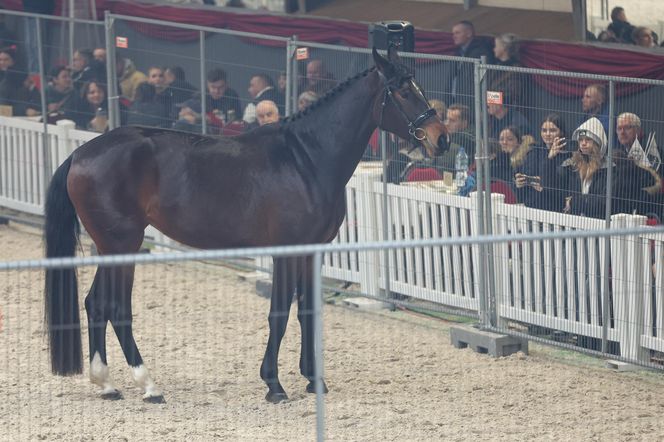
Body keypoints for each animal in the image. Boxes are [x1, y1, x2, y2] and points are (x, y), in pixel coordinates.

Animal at [44, 47, 448, 404]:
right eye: (403, 91)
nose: (440, 138)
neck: (306, 159)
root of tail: (80, 153)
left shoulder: (311, 252)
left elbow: (306, 312)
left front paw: (313, 380)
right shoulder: (286, 252)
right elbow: (279, 314)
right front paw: (274, 385)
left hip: (110, 247)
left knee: (96, 304)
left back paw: (107, 384)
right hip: (122, 245)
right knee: (115, 307)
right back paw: (149, 386)